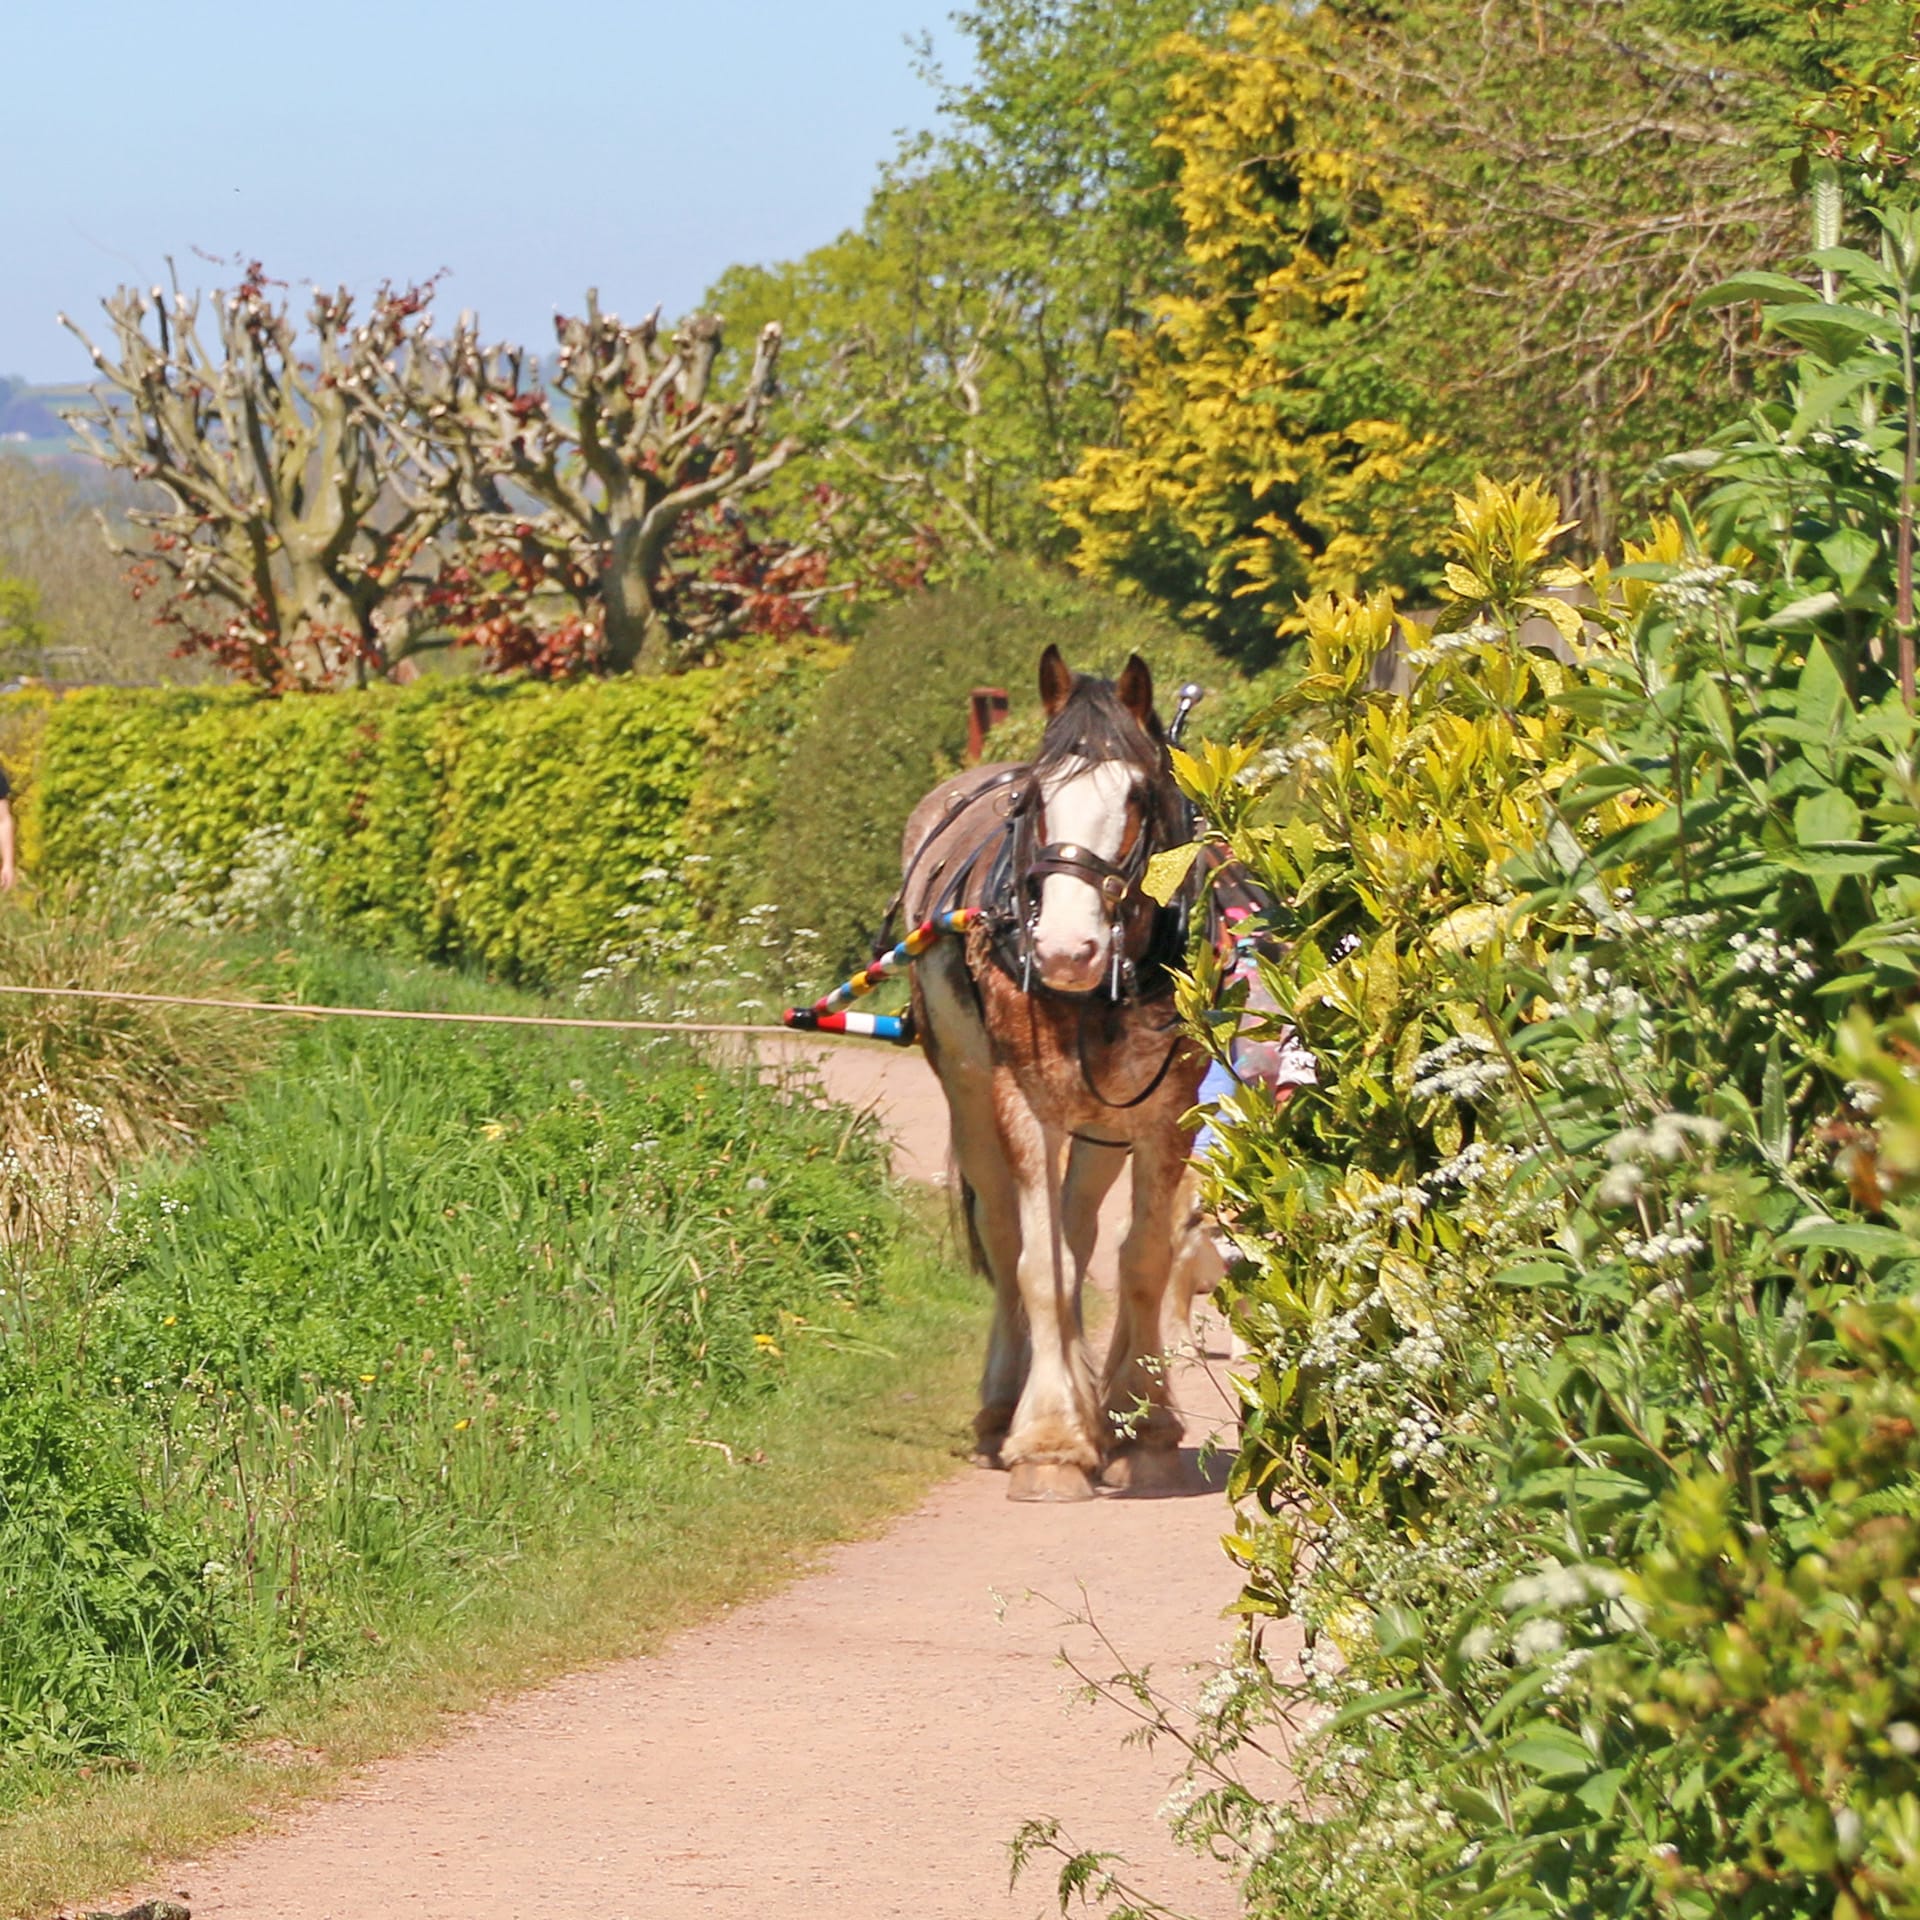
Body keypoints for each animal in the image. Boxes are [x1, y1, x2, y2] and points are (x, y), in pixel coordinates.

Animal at [901, 646, 1210, 1502]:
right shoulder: (1024, 1099)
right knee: (1013, 1236)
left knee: (1081, 1230)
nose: (1067, 951)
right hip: (970, 1095)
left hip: (1104, 1125)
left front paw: (1143, 1420)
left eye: (1138, 793)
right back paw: (1007, 1405)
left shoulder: (1169, 1103)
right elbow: (1038, 1265)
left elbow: (1142, 1258)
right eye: (1036, 797)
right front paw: (1048, 1442)